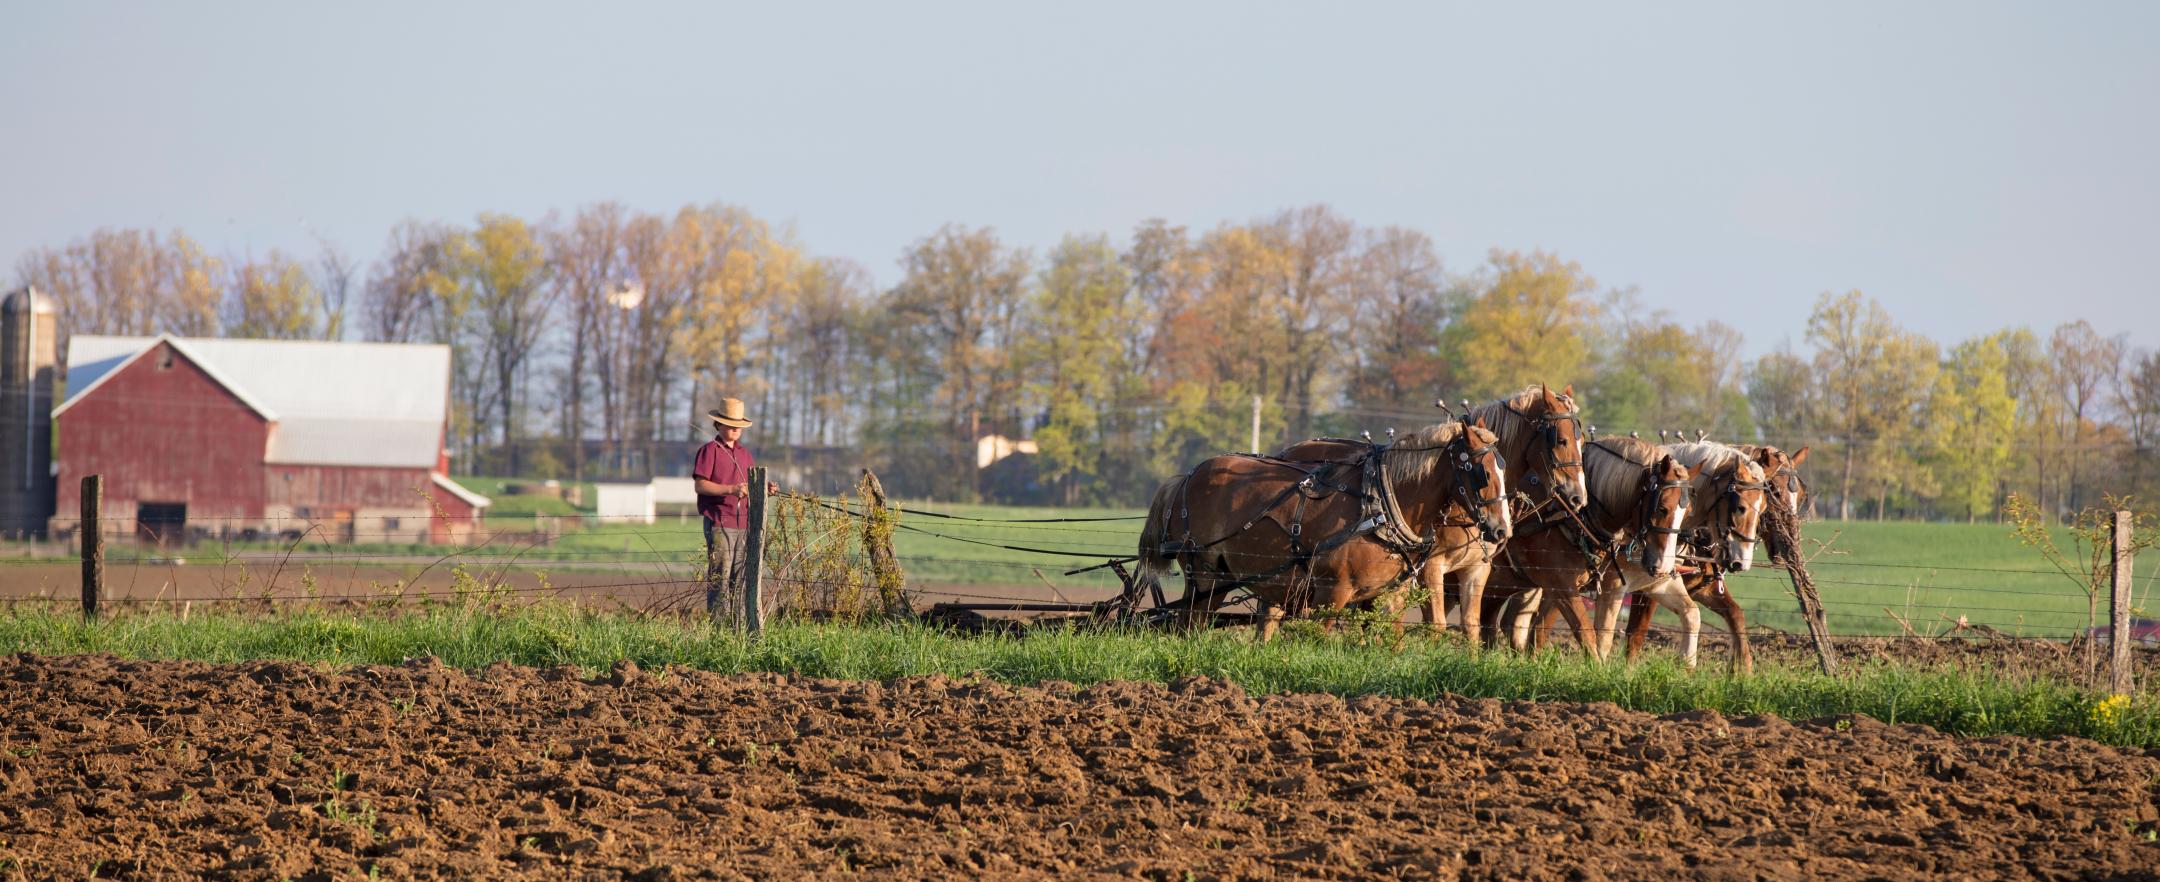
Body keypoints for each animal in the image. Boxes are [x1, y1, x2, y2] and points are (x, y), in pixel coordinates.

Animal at [1140, 419, 1512, 639]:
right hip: (1203, 572)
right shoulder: (1332, 592)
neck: (1381, 501)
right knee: (1189, 624)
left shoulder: (1387, 596)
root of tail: (1187, 476)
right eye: (1482, 473)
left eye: (1503, 467)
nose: (1501, 531)